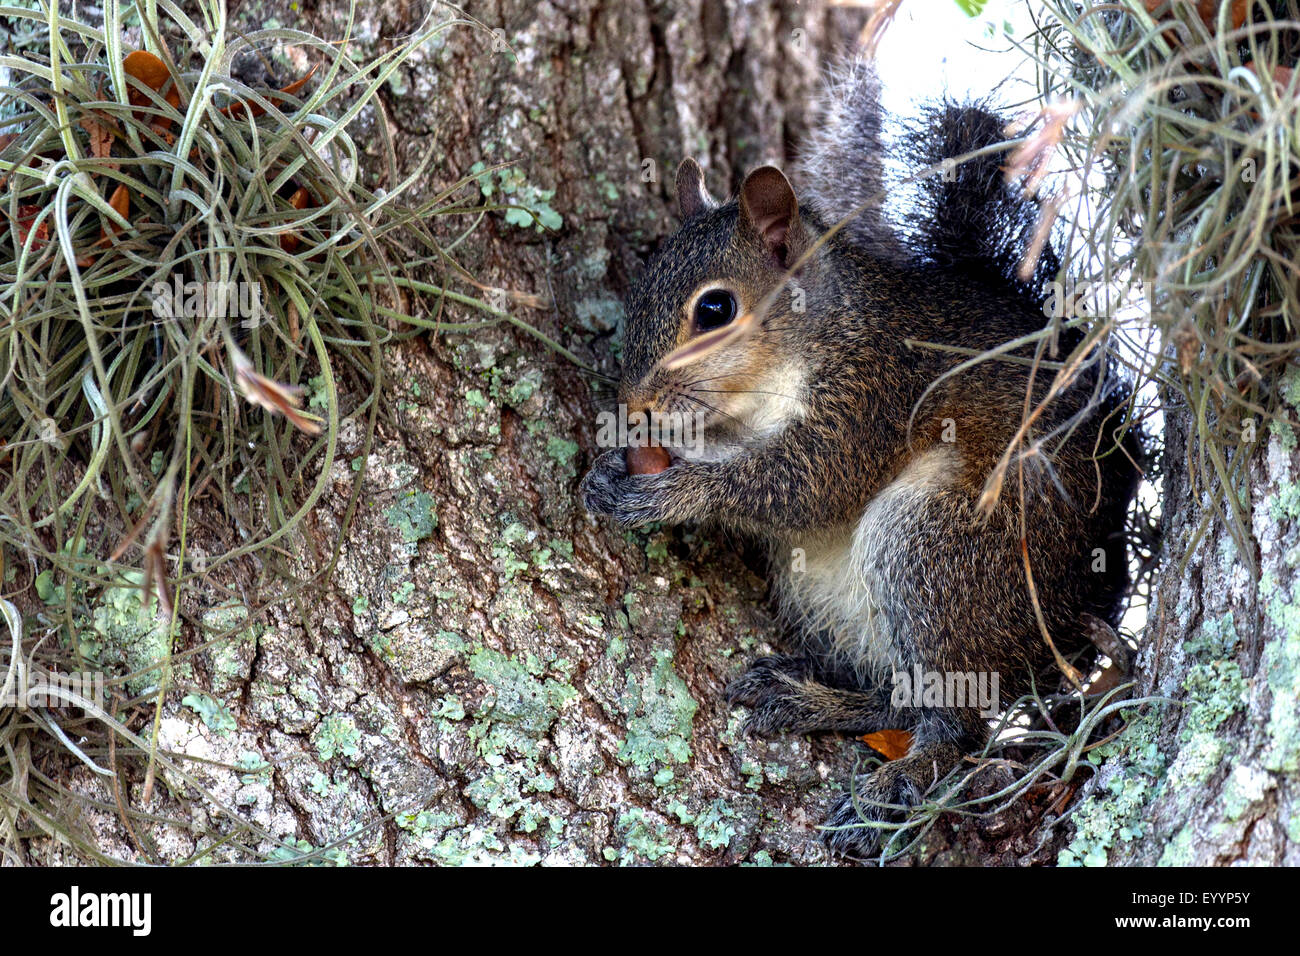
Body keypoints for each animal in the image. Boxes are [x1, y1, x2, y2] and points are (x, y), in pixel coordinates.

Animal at [579, 54, 1138, 858]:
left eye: (714, 310)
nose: (636, 408)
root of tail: (1073, 612)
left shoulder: (874, 394)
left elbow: (805, 484)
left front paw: (673, 493)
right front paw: (610, 469)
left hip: (940, 545)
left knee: (955, 719)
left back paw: (898, 781)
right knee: (900, 703)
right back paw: (814, 698)